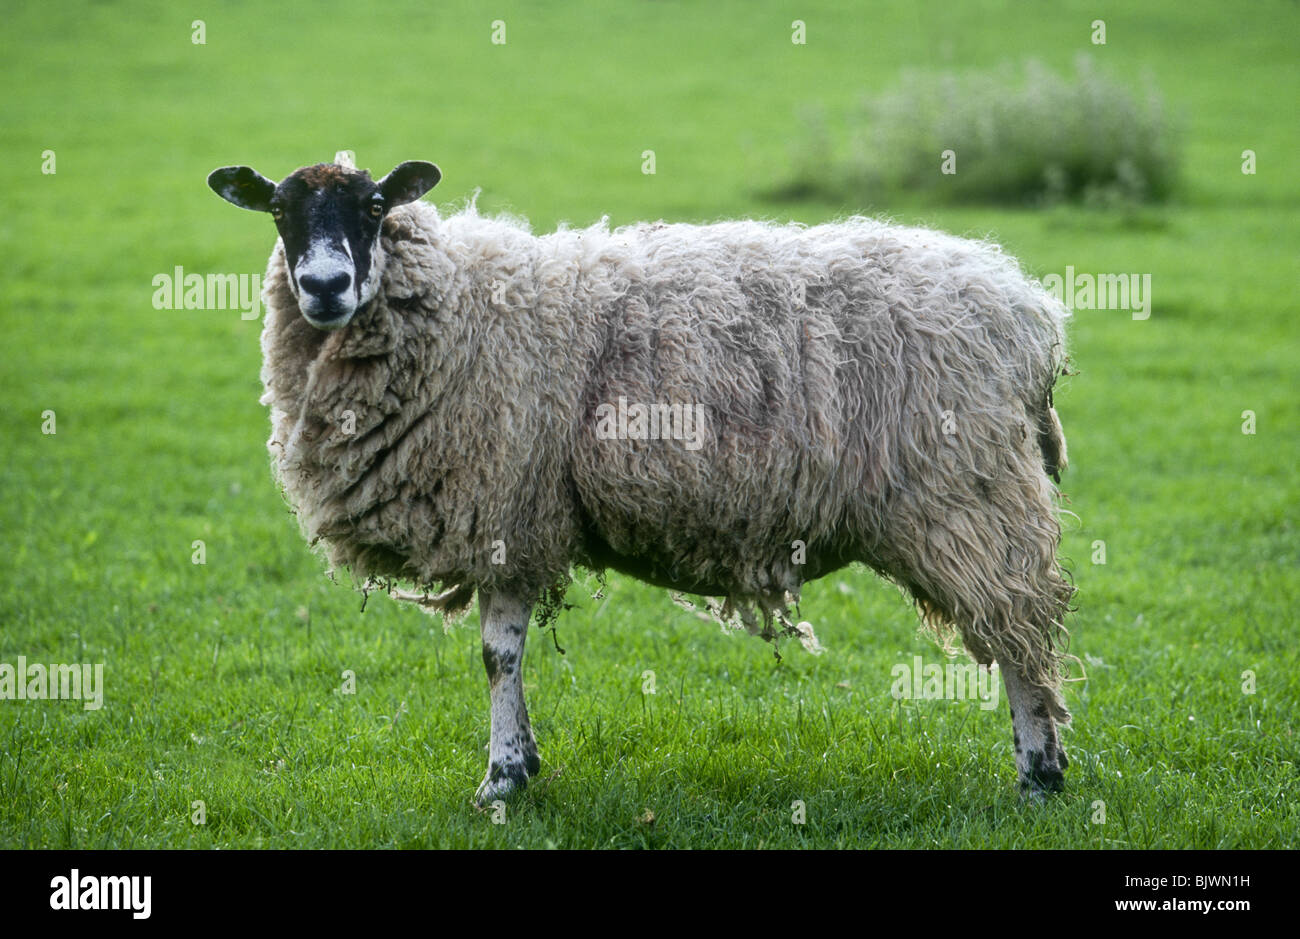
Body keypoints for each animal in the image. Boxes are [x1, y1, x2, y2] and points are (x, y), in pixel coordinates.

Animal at [205, 150, 1076, 801]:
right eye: (279, 210)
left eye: (375, 206)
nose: (324, 286)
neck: (456, 307)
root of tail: (1029, 313)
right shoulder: (511, 515)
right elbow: (501, 654)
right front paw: (520, 766)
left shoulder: (508, 507)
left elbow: (498, 654)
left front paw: (502, 780)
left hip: (968, 497)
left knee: (1020, 634)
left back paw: (1039, 774)